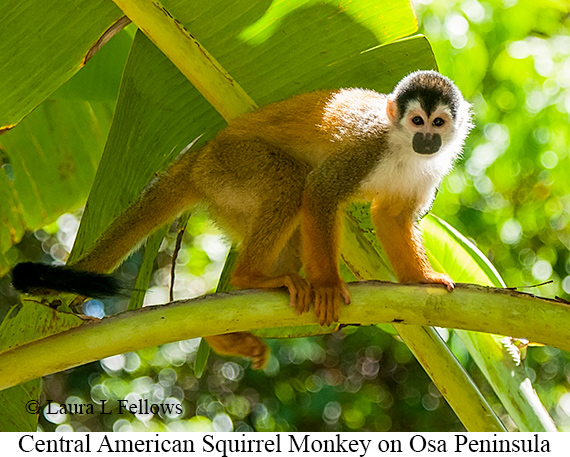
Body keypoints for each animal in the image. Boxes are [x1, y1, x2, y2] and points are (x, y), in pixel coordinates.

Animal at [11, 71, 470, 368]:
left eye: (438, 123)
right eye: (416, 120)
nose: (426, 138)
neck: (401, 147)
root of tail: (199, 155)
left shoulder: (429, 170)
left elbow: (391, 215)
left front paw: (420, 280)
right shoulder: (367, 145)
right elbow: (321, 192)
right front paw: (326, 284)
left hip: (225, 196)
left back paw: (224, 325)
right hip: (232, 165)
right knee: (292, 183)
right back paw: (251, 278)